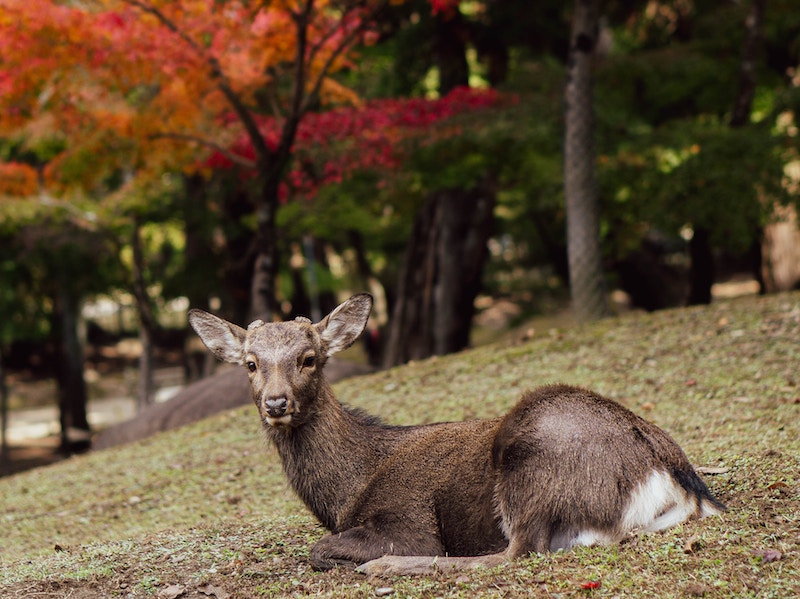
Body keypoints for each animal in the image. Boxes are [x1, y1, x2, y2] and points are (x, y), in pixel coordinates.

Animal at [188, 294, 724, 576]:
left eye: (309, 358)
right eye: (250, 363)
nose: (277, 403)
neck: (345, 492)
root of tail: (673, 480)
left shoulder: (409, 521)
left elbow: (322, 549)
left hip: (534, 454)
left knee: (512, 553)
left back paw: (384, 568)